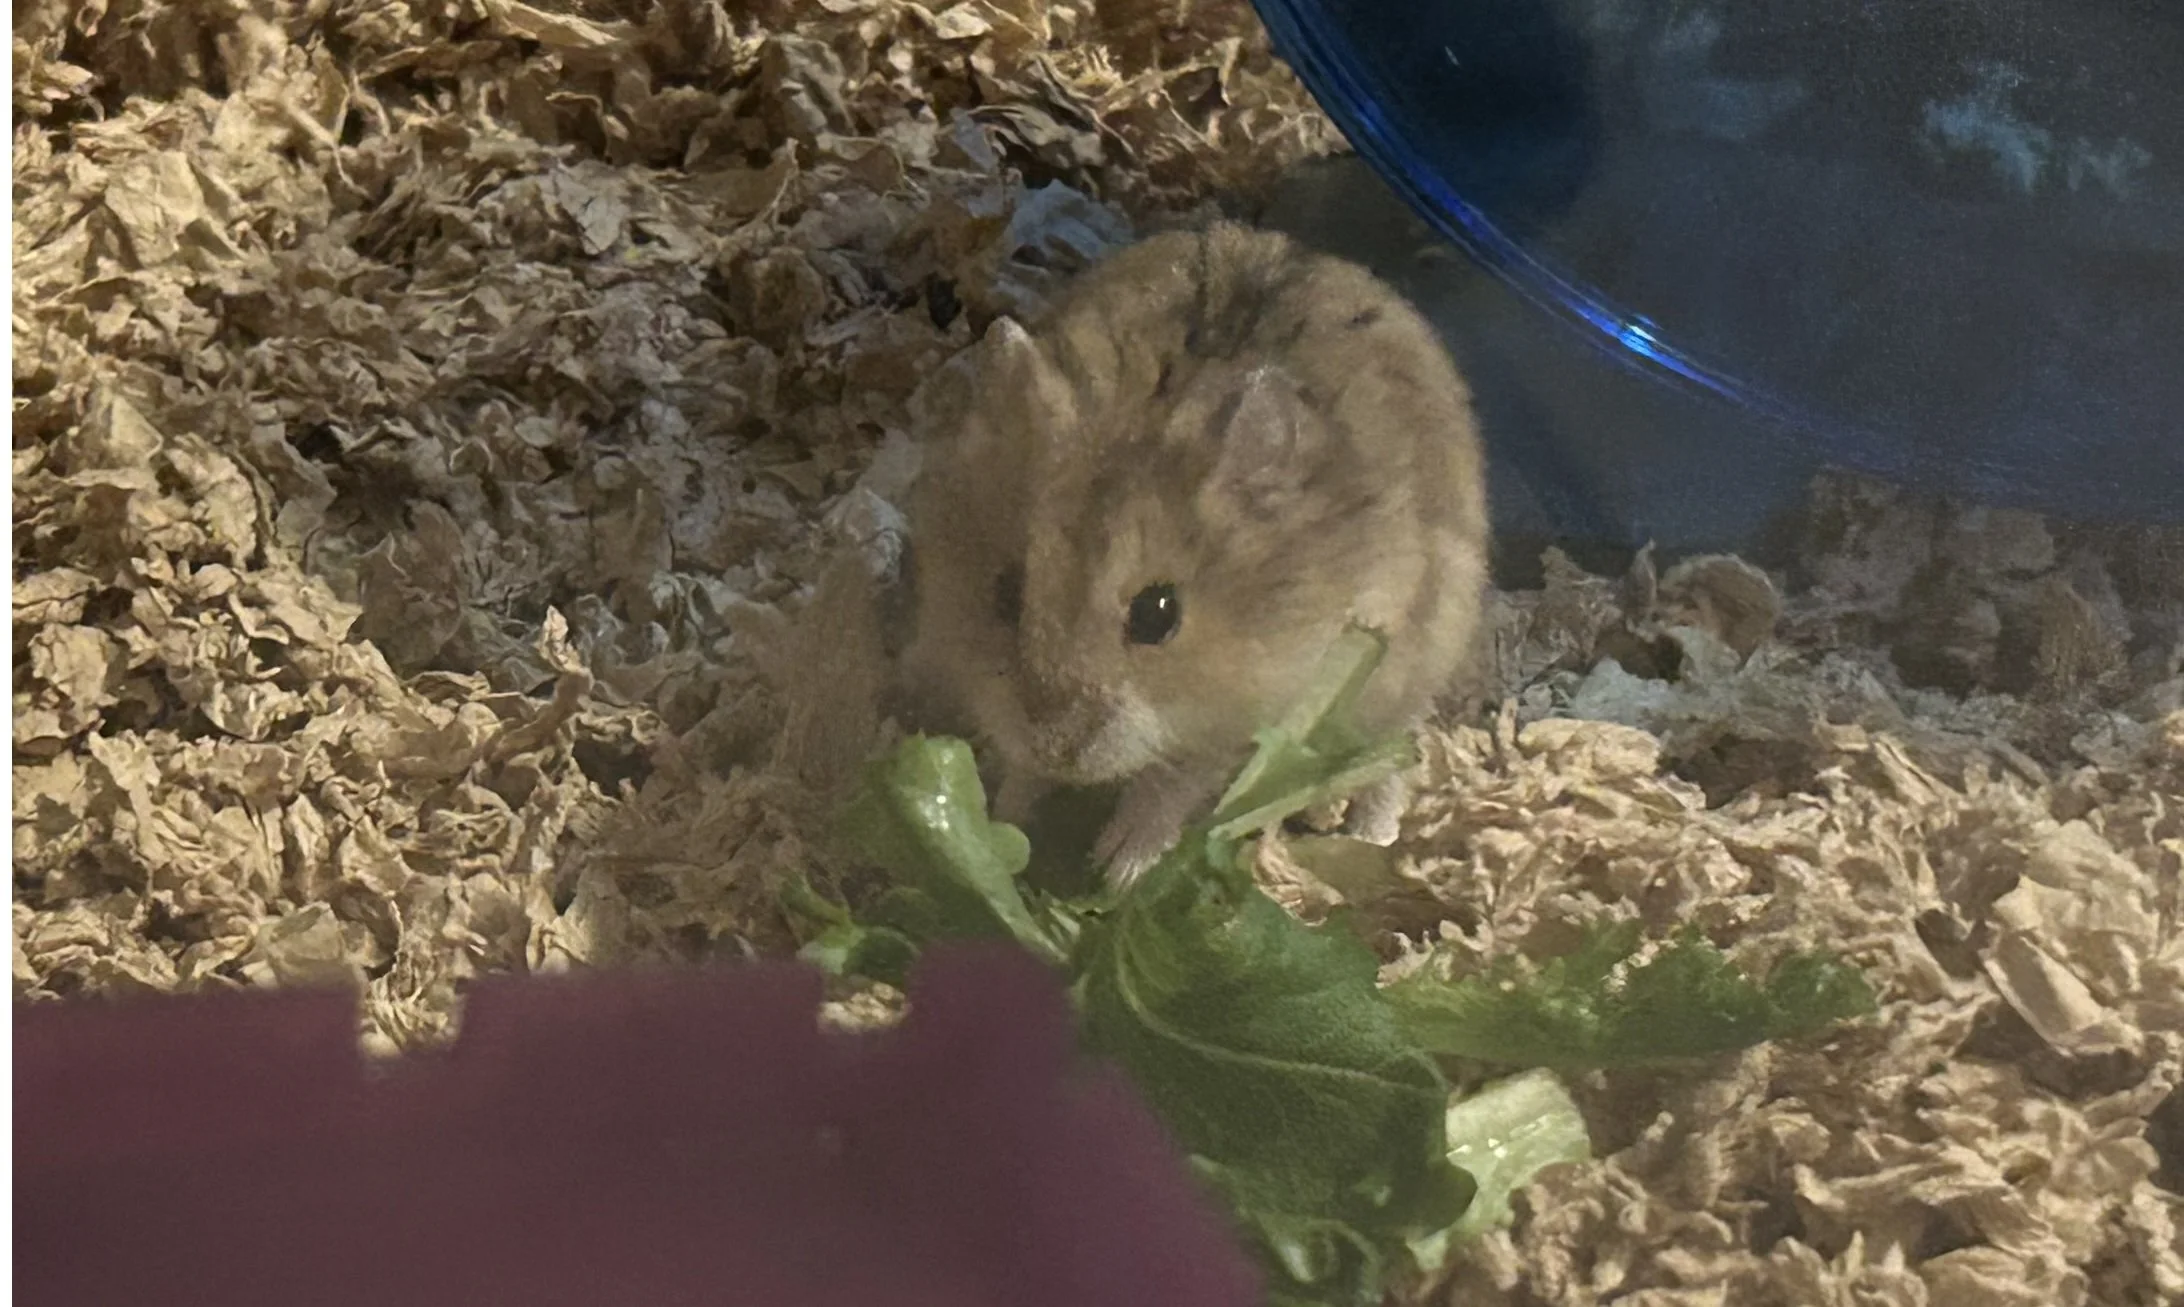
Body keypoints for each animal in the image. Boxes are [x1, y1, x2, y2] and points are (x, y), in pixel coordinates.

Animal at [899, 223, 1489, 886]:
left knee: (1395, 758)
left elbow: (1173, 785)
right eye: (1005, 592)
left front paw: (1118, 868)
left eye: (1158, 615)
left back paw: (1371, 838)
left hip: (1409, 676)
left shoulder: (1247, 720)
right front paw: (1003, 821)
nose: (1058, 748)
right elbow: (1023, 768)